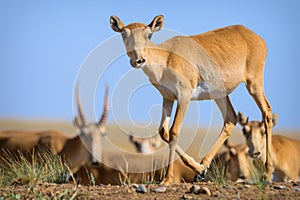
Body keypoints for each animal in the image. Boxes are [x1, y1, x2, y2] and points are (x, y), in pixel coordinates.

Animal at [110, 15, 274, 186]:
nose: (139, 60)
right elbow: (163, 132)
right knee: (230, 119)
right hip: (220, 95)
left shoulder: (184, 98)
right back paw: (202, 167)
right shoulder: (168, 98)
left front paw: (167, 179)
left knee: (267, 112)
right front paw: (199, 170)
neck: (168, 57)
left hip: (254, 84)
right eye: (124, 34)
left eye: (149, 35)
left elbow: (174, 132)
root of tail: (253, 36)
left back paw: (267, 174)